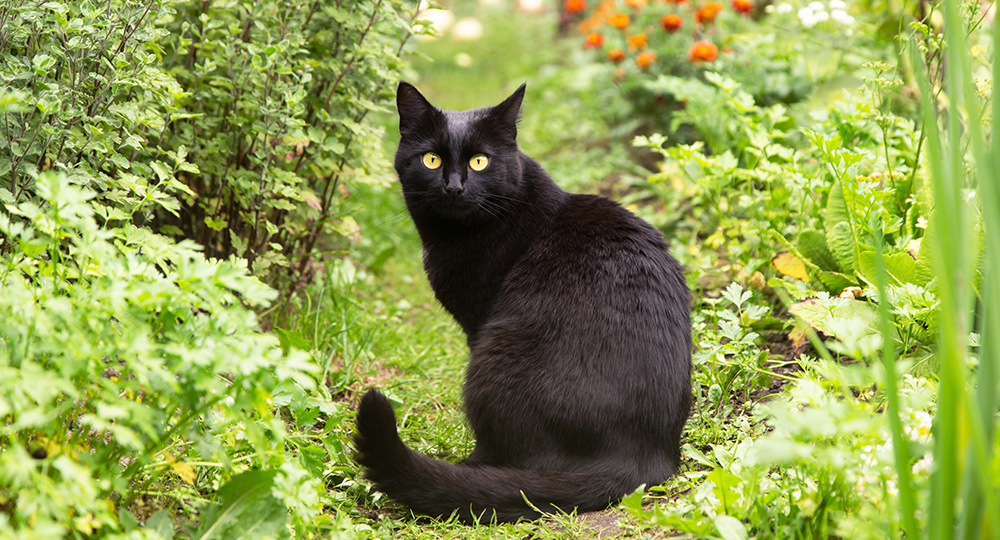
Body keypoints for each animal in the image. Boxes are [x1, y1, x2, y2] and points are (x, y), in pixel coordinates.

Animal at [356, 81, 692, 524]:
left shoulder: (477, 320)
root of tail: (640, 461)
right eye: (431, 159)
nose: (454, 186)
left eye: (480, 161)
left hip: (492, 357)